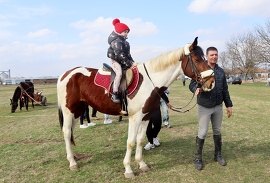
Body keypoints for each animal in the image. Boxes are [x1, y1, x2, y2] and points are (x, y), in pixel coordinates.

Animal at [57, 36, 215, 178]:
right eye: (197, 59)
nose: (212, 82)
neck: (150, 82)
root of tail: (65, 74)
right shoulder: (135, 117)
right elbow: (131, 142)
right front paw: (128, 169)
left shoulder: (146, 116)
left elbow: (140, 140)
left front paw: (142, 164)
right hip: (68, 111)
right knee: (66, 132)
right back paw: (72, 163)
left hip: (77, 111)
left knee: (70, 132)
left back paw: (73, 157)